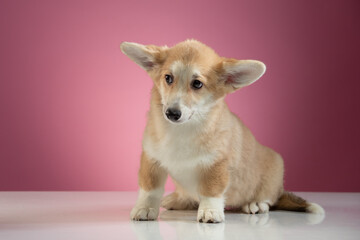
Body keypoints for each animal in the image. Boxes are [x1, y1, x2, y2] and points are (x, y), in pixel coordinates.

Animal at [119, 39, 324, 223]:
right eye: (168, 78)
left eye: (197, 84)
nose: (172, 113)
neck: (183, 130)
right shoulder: (151, 158)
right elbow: (150, 188)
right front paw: (145, 208)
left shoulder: (216, 164)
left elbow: (210, 191)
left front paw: (210, 212)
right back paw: (178, 200)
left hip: (275, 168)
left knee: (269, 198)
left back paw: (255, 204)